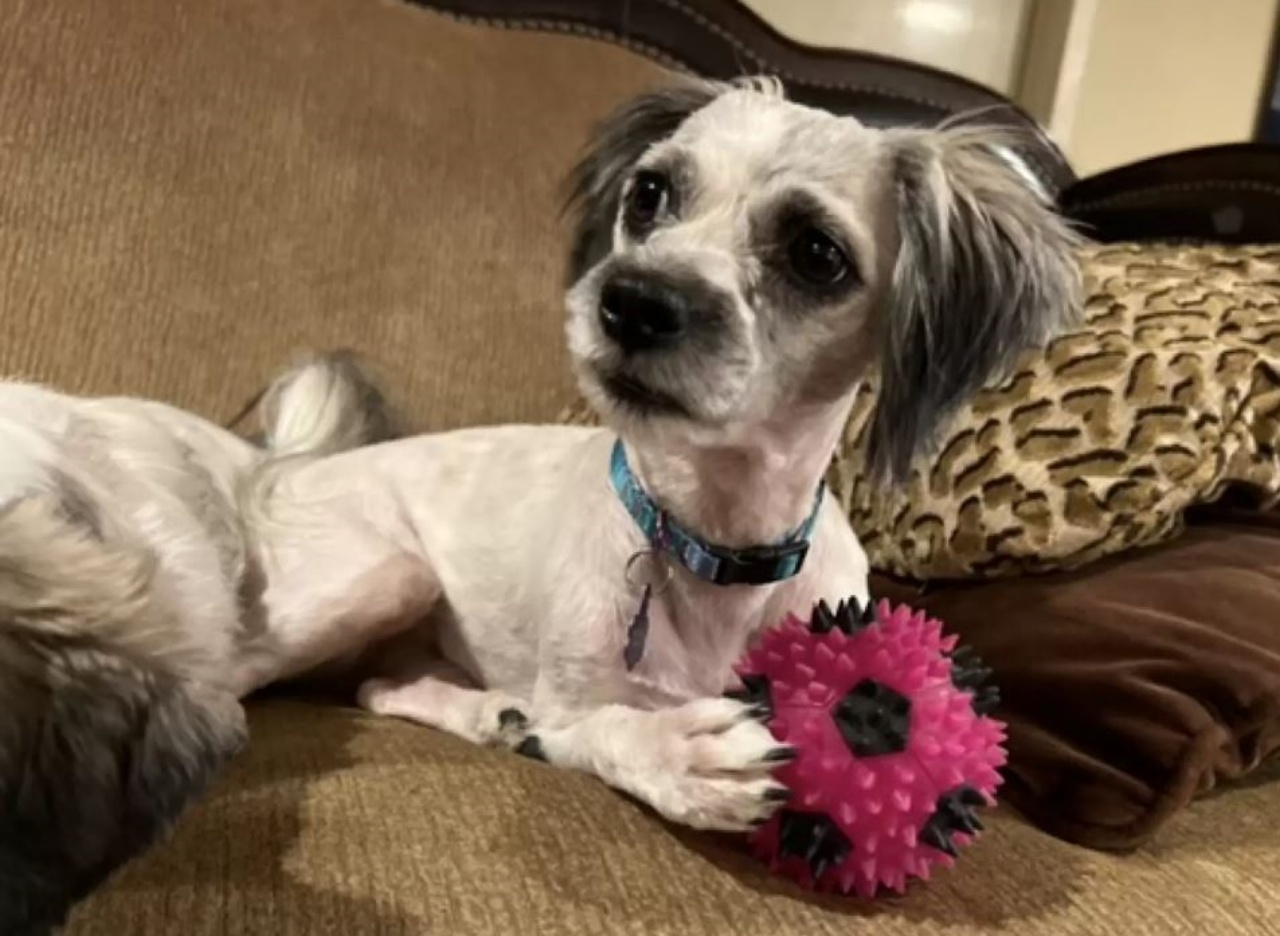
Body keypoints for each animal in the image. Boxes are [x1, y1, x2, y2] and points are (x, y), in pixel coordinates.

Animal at [0, 76, 1080, 932]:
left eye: (815, 253)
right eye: (651, 192)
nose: (631, 300)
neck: (708, 542)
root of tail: (273, 465)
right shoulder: (574, 698)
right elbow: (597, 727)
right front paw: (676, 752)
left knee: (374, 685)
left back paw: (476, 710)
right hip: (375, 575)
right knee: (255, 684)